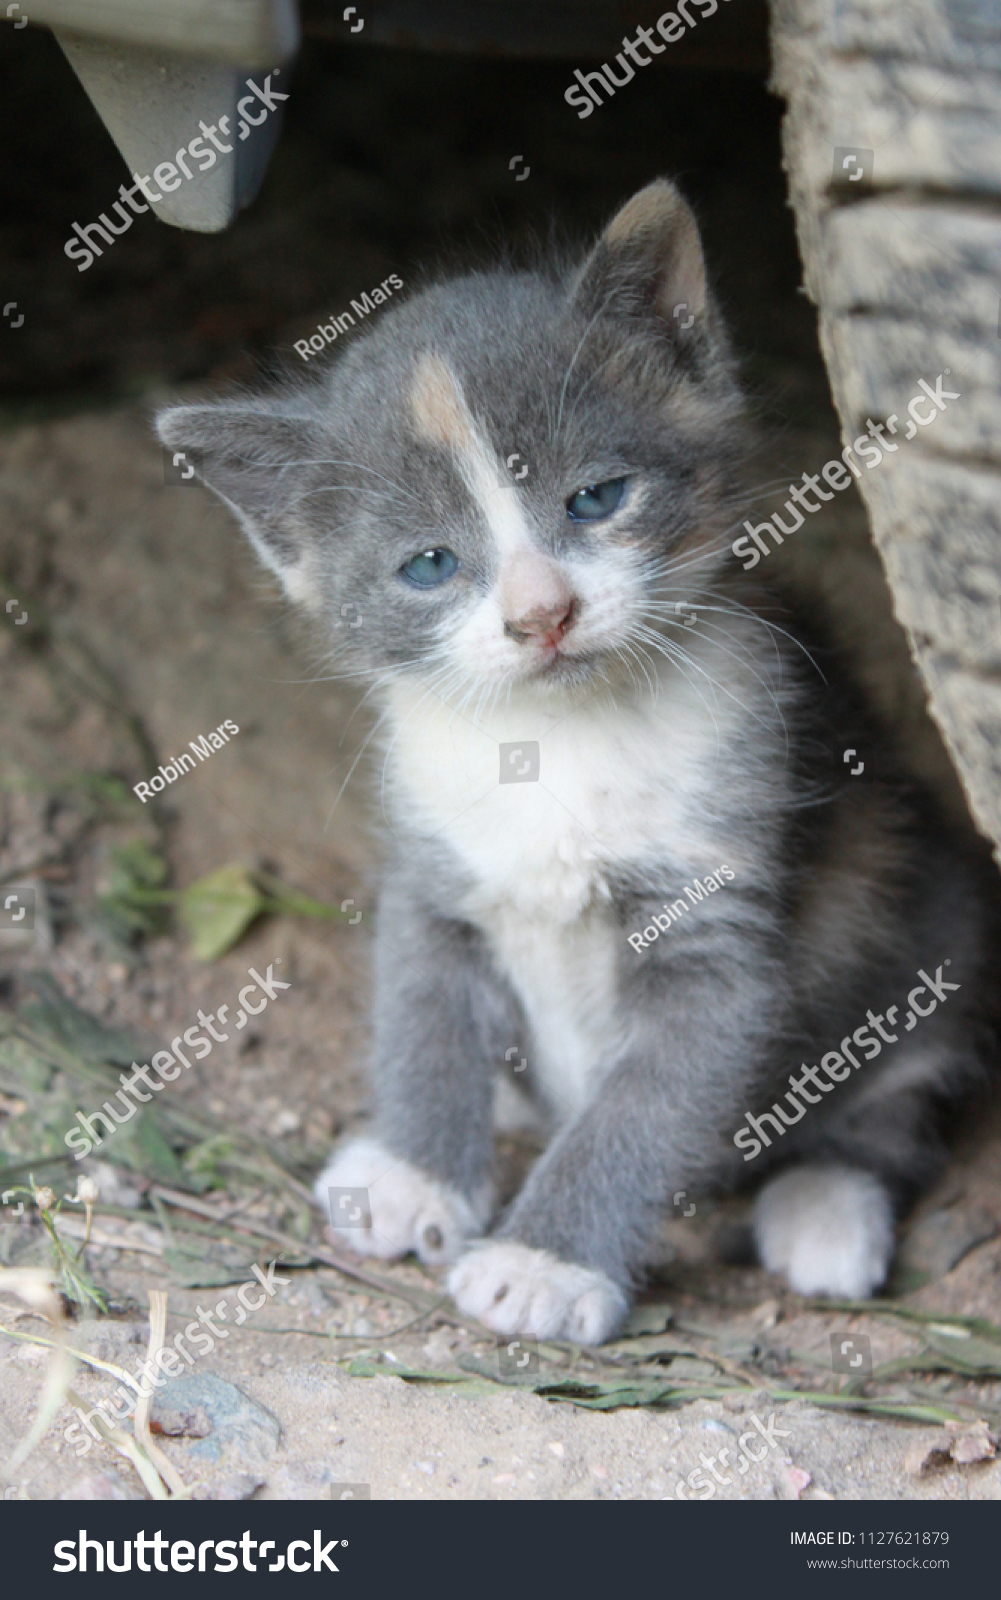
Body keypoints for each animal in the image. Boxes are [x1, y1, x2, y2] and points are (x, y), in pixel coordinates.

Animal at [155, 181, 991, 1344]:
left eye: (595, 499)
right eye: (430, 565)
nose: (539, 613)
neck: (555, 741)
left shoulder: (718, 929)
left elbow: (641, 1107)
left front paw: (543, 1262)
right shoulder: (431, 871)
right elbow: (422, 1014)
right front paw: (415, 1171)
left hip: (930, 922)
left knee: (897, 1096)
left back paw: (826, 1205)